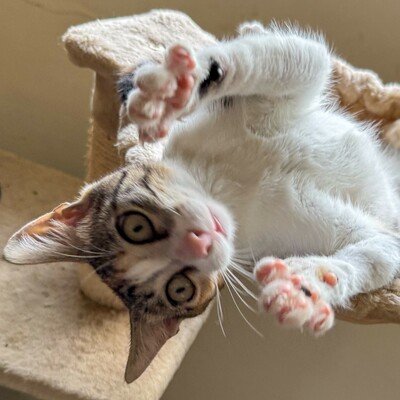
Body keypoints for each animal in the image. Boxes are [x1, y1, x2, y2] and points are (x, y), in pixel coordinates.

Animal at [4, 21, 400, 382]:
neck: (231, 186)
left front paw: (179, 86)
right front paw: (306, 287)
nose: (201, 241)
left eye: (135, 225)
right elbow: (380, 251)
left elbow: (298, 59)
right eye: (180, 288)